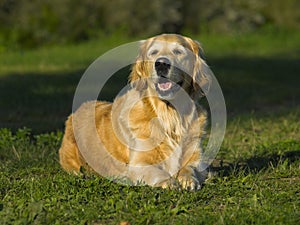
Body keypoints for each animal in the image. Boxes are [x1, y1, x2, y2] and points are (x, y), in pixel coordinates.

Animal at [58, 33, 211, 190]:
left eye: (178, 52)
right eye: (154, 52)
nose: (161, 64)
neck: (169, 115)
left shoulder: (197, 159)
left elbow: (190, 168)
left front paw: (188, 179)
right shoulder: (138, 164)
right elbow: (158, 173)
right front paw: (169, 182)